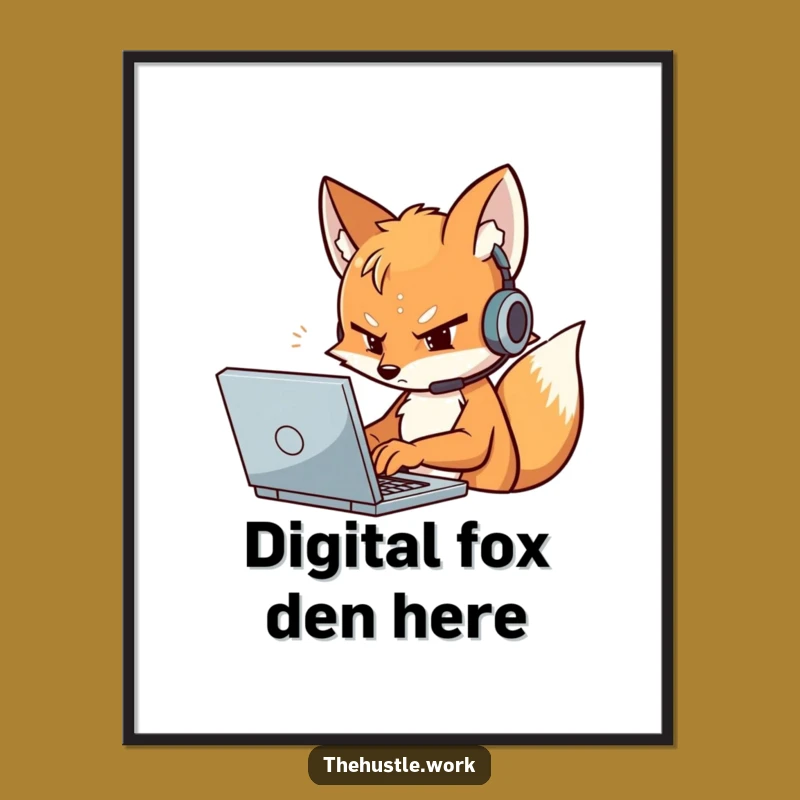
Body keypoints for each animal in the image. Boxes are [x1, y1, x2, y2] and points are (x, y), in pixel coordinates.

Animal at [319, 165, 584, 492]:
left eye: (439, 337)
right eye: (372, 342)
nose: (388, 371)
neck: (434, 394)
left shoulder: (480, 408)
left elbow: (471, 444)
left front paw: (402, 450)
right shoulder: (399, 407)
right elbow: (380, 428)